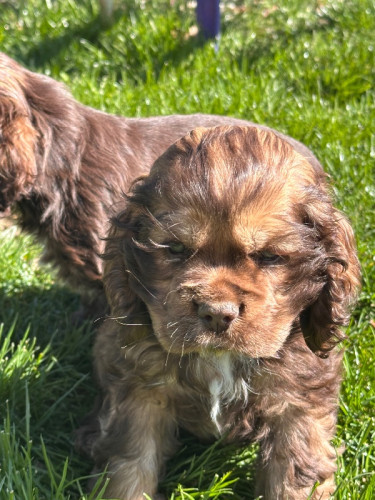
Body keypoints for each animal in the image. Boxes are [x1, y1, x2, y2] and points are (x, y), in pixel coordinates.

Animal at [85, 126, 362, 500]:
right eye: (175, 248)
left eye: (269, 256)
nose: (217, 314)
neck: (221, 360)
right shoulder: (140, 392)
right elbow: (130, 466)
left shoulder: (298, 404)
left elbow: (295, 476)